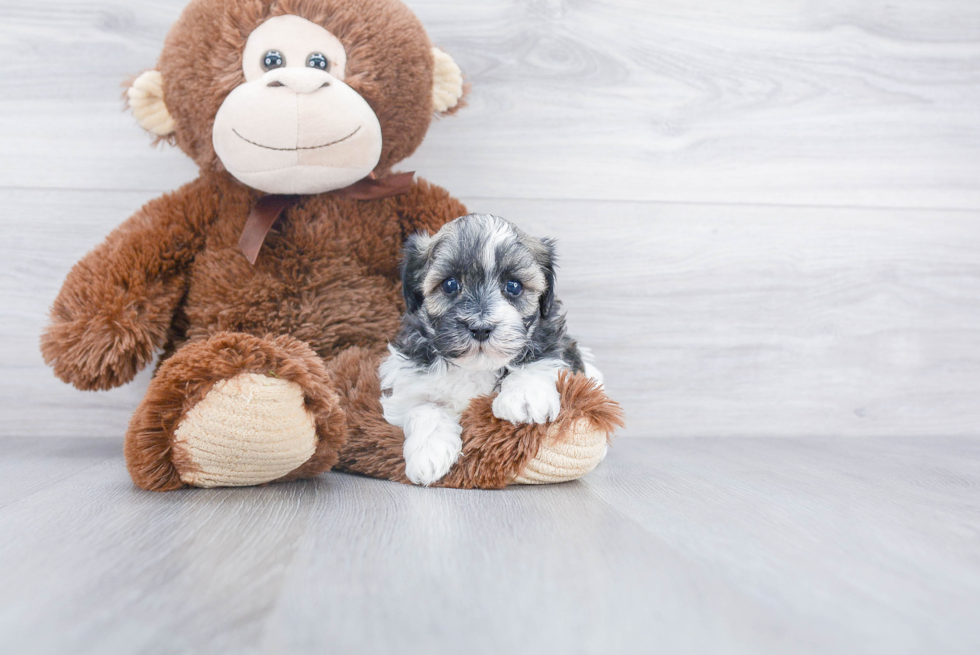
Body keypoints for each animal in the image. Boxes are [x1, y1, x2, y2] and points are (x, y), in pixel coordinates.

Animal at [378, 215, 600, 486]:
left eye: (513, 286)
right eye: (450, 284)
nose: (481, 328)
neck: (475, 367)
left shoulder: (554, 344)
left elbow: (540, 360)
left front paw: (524, 397)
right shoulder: (407, 381)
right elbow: (422, 407)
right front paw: (429, 452)